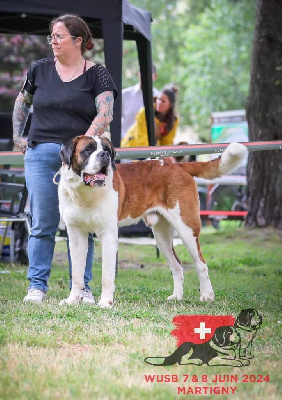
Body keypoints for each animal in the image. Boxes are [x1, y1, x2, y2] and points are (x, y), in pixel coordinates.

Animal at [57, 136, 247, 308]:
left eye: (106, 149)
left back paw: (207, 295)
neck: (84, 193)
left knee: (201, 263)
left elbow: (107, 275)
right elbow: (77, 273)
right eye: (88, 149)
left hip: (187, 229)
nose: (105, 155)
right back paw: (177, 297)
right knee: (177, 266)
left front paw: (105, 303)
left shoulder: (108, 235)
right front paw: (72, 300)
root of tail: (176, 165)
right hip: (161, 237)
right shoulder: (75, 236)